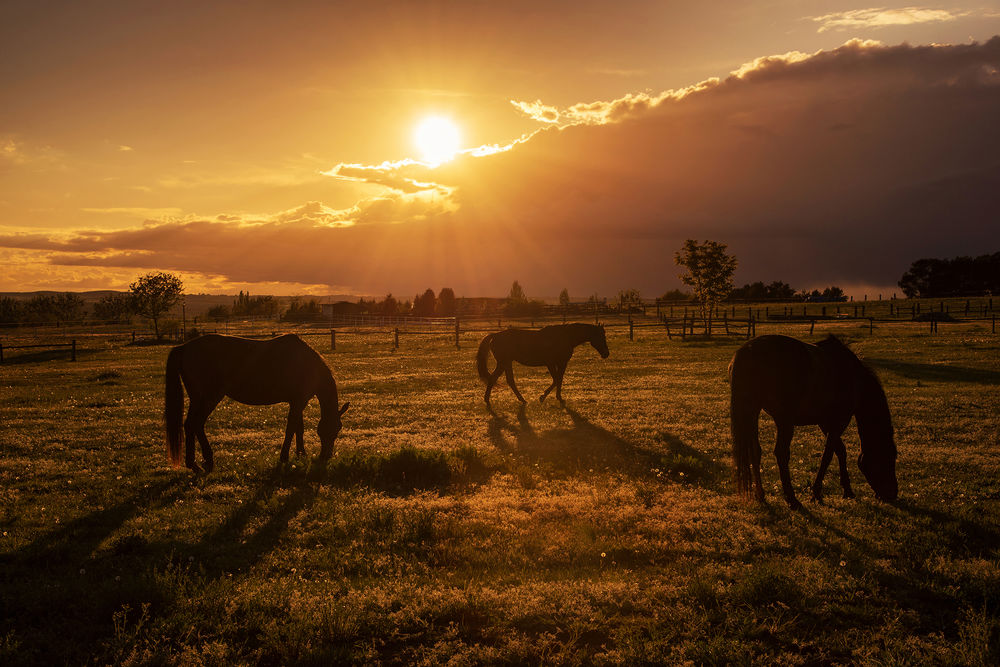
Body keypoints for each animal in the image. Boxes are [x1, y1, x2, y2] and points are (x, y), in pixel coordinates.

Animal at [165, 334, 352, 474]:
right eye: (332, 430)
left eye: (338, 429)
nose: (325, 456)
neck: (308, 364)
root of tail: (184, 348)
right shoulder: (298, 402)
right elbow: (291, 427)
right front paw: (285, 457)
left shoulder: (298, 402)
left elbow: (299, 428)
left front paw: (301, 454)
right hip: (209, 398)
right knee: (196, 424)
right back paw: (204, 463)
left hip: (197, 400)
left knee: (190, 425)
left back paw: (196, 464)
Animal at [476, 324, 608, 408]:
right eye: (601, 336)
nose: (606, 353)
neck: (565, 336)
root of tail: (495, 335)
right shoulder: (551, 363)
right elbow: (556, 379)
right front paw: (543, 396)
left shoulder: (561, 363)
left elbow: (559, 379)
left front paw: (558, 397)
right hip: (505, 362)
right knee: (502, 379)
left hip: (505, 363)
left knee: (499, 379)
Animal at [728, 336, 900, 508]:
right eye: (889, 458)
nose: (892, 494)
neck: (854, 378)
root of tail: (748, 351)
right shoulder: (839, 421)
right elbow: (828, 455)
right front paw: (816, 492)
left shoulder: (825, 422)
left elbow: (840, 451)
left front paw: (847, 490)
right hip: (784, 421)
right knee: (781, 453)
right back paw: (791, 498)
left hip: (753, 411)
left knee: (755, 451)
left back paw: (761, 495)